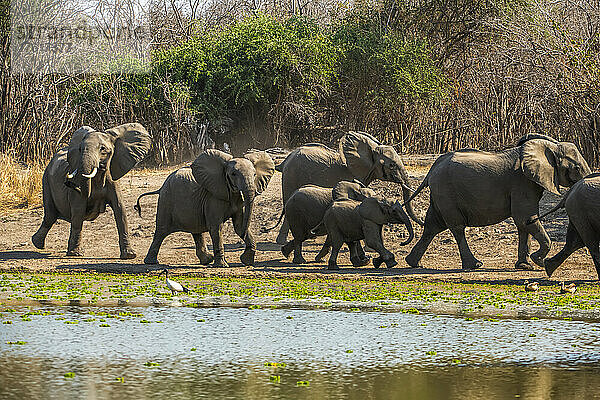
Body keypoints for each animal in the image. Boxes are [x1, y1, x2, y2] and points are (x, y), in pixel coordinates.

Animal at [30, 123, 152, 258]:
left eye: (103, 149)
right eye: (80, 149)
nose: (68, 182)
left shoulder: (113, 178)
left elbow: (120, 210)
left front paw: (129, 255)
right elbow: (78, 210)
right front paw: (75, 254)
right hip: (45, 179)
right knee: (50, 215)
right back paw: (37, 244)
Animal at [404, 135, 592, 272]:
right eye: (576, 168)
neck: (549, 147)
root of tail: (433, 168)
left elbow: (524, 223)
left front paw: (525, 266)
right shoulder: (521, 182)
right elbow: (525, 218)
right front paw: (538, 261)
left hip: (440, 194)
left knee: (432, 225)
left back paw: (413, 263)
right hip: (446, 191)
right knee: (456, 227)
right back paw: (474, 265)